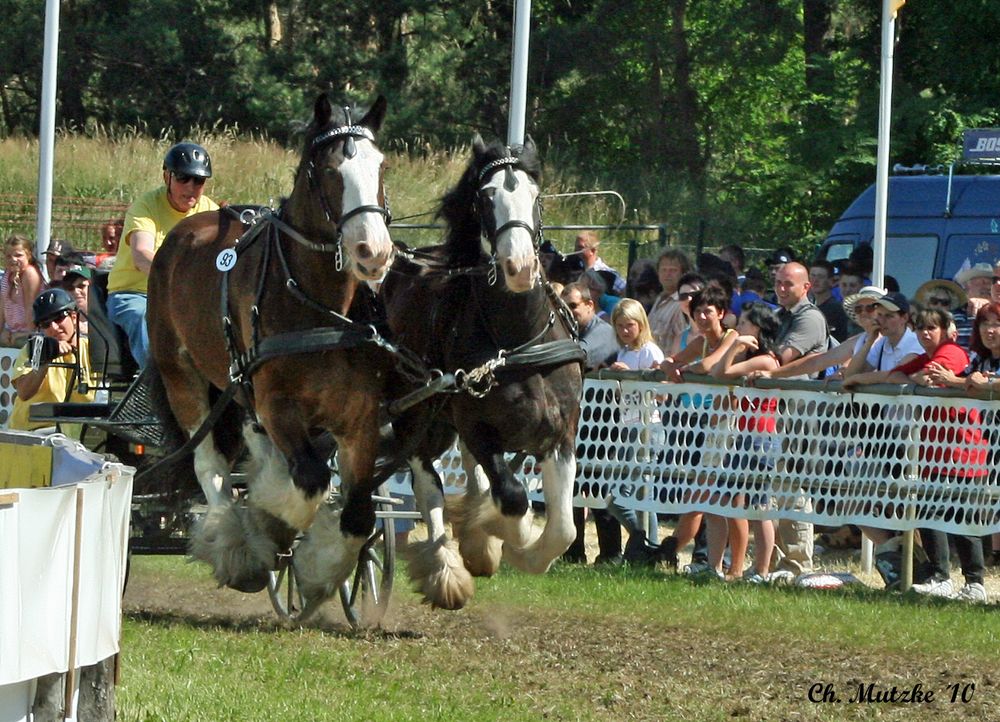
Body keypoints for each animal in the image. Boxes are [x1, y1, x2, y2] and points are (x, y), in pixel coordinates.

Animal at [148, 94, 398, 596]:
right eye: (329, 170)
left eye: (381, 166)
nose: (373, 252)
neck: (320, 308)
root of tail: (184, 233)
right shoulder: (278, 405)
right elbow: (309, 481)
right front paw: (271, 525)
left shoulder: (360, 419)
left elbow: (359, 517)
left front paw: (321, 567)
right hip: (181, 375)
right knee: (210, 464)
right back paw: (236, 545)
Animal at [382, 136, 584, 608]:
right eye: (485, 197)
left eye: (536, 195)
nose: (520, 266)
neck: (517, 342)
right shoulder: (478, 429)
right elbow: (512, 498)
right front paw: (504, 536)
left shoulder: (561, 432)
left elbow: (563, 529)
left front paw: (499, 539)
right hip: (418, 417)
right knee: (428, 484)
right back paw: (446, 571)